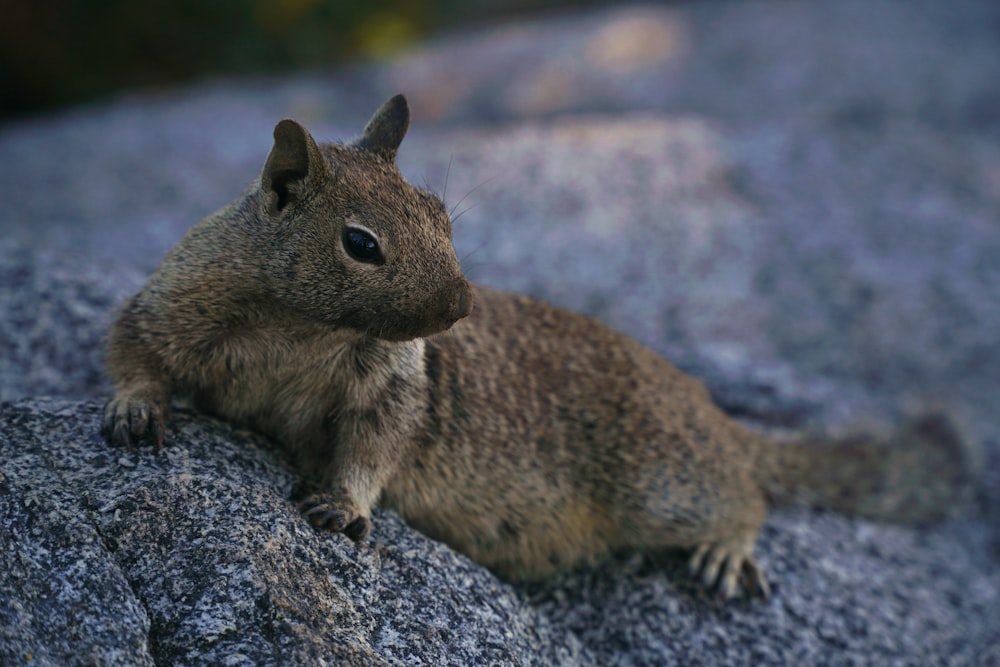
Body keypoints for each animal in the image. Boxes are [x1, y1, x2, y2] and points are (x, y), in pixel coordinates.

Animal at [107, 94, 968, 600]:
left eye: (441, 213)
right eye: (360, 243)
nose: (460, 306)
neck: (305, 327)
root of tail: (709, 409)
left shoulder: (391, 386)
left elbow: (376, 444)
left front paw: (342, 504)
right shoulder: (177, 299)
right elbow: (132, 341)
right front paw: (135, 409)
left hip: (663, 483)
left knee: (744, 492)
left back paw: (726, 547)